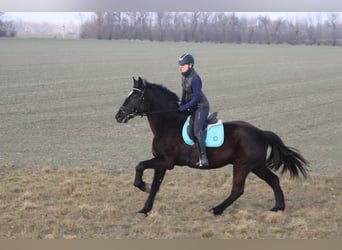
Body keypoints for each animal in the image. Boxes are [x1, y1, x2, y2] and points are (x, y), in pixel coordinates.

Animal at [114, 77, 308, 216]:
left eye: (135, 96)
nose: (118, 116)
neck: (167, 125)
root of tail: (261, 133)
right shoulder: (161, 162)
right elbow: (155, 186)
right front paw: (145, 209)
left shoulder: (166, 161)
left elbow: (140, 165)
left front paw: (142, 185)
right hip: (256, 166)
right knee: (273, 180)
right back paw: (278, 207)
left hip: (243, 165)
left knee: (238, 189)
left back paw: (216, 209)